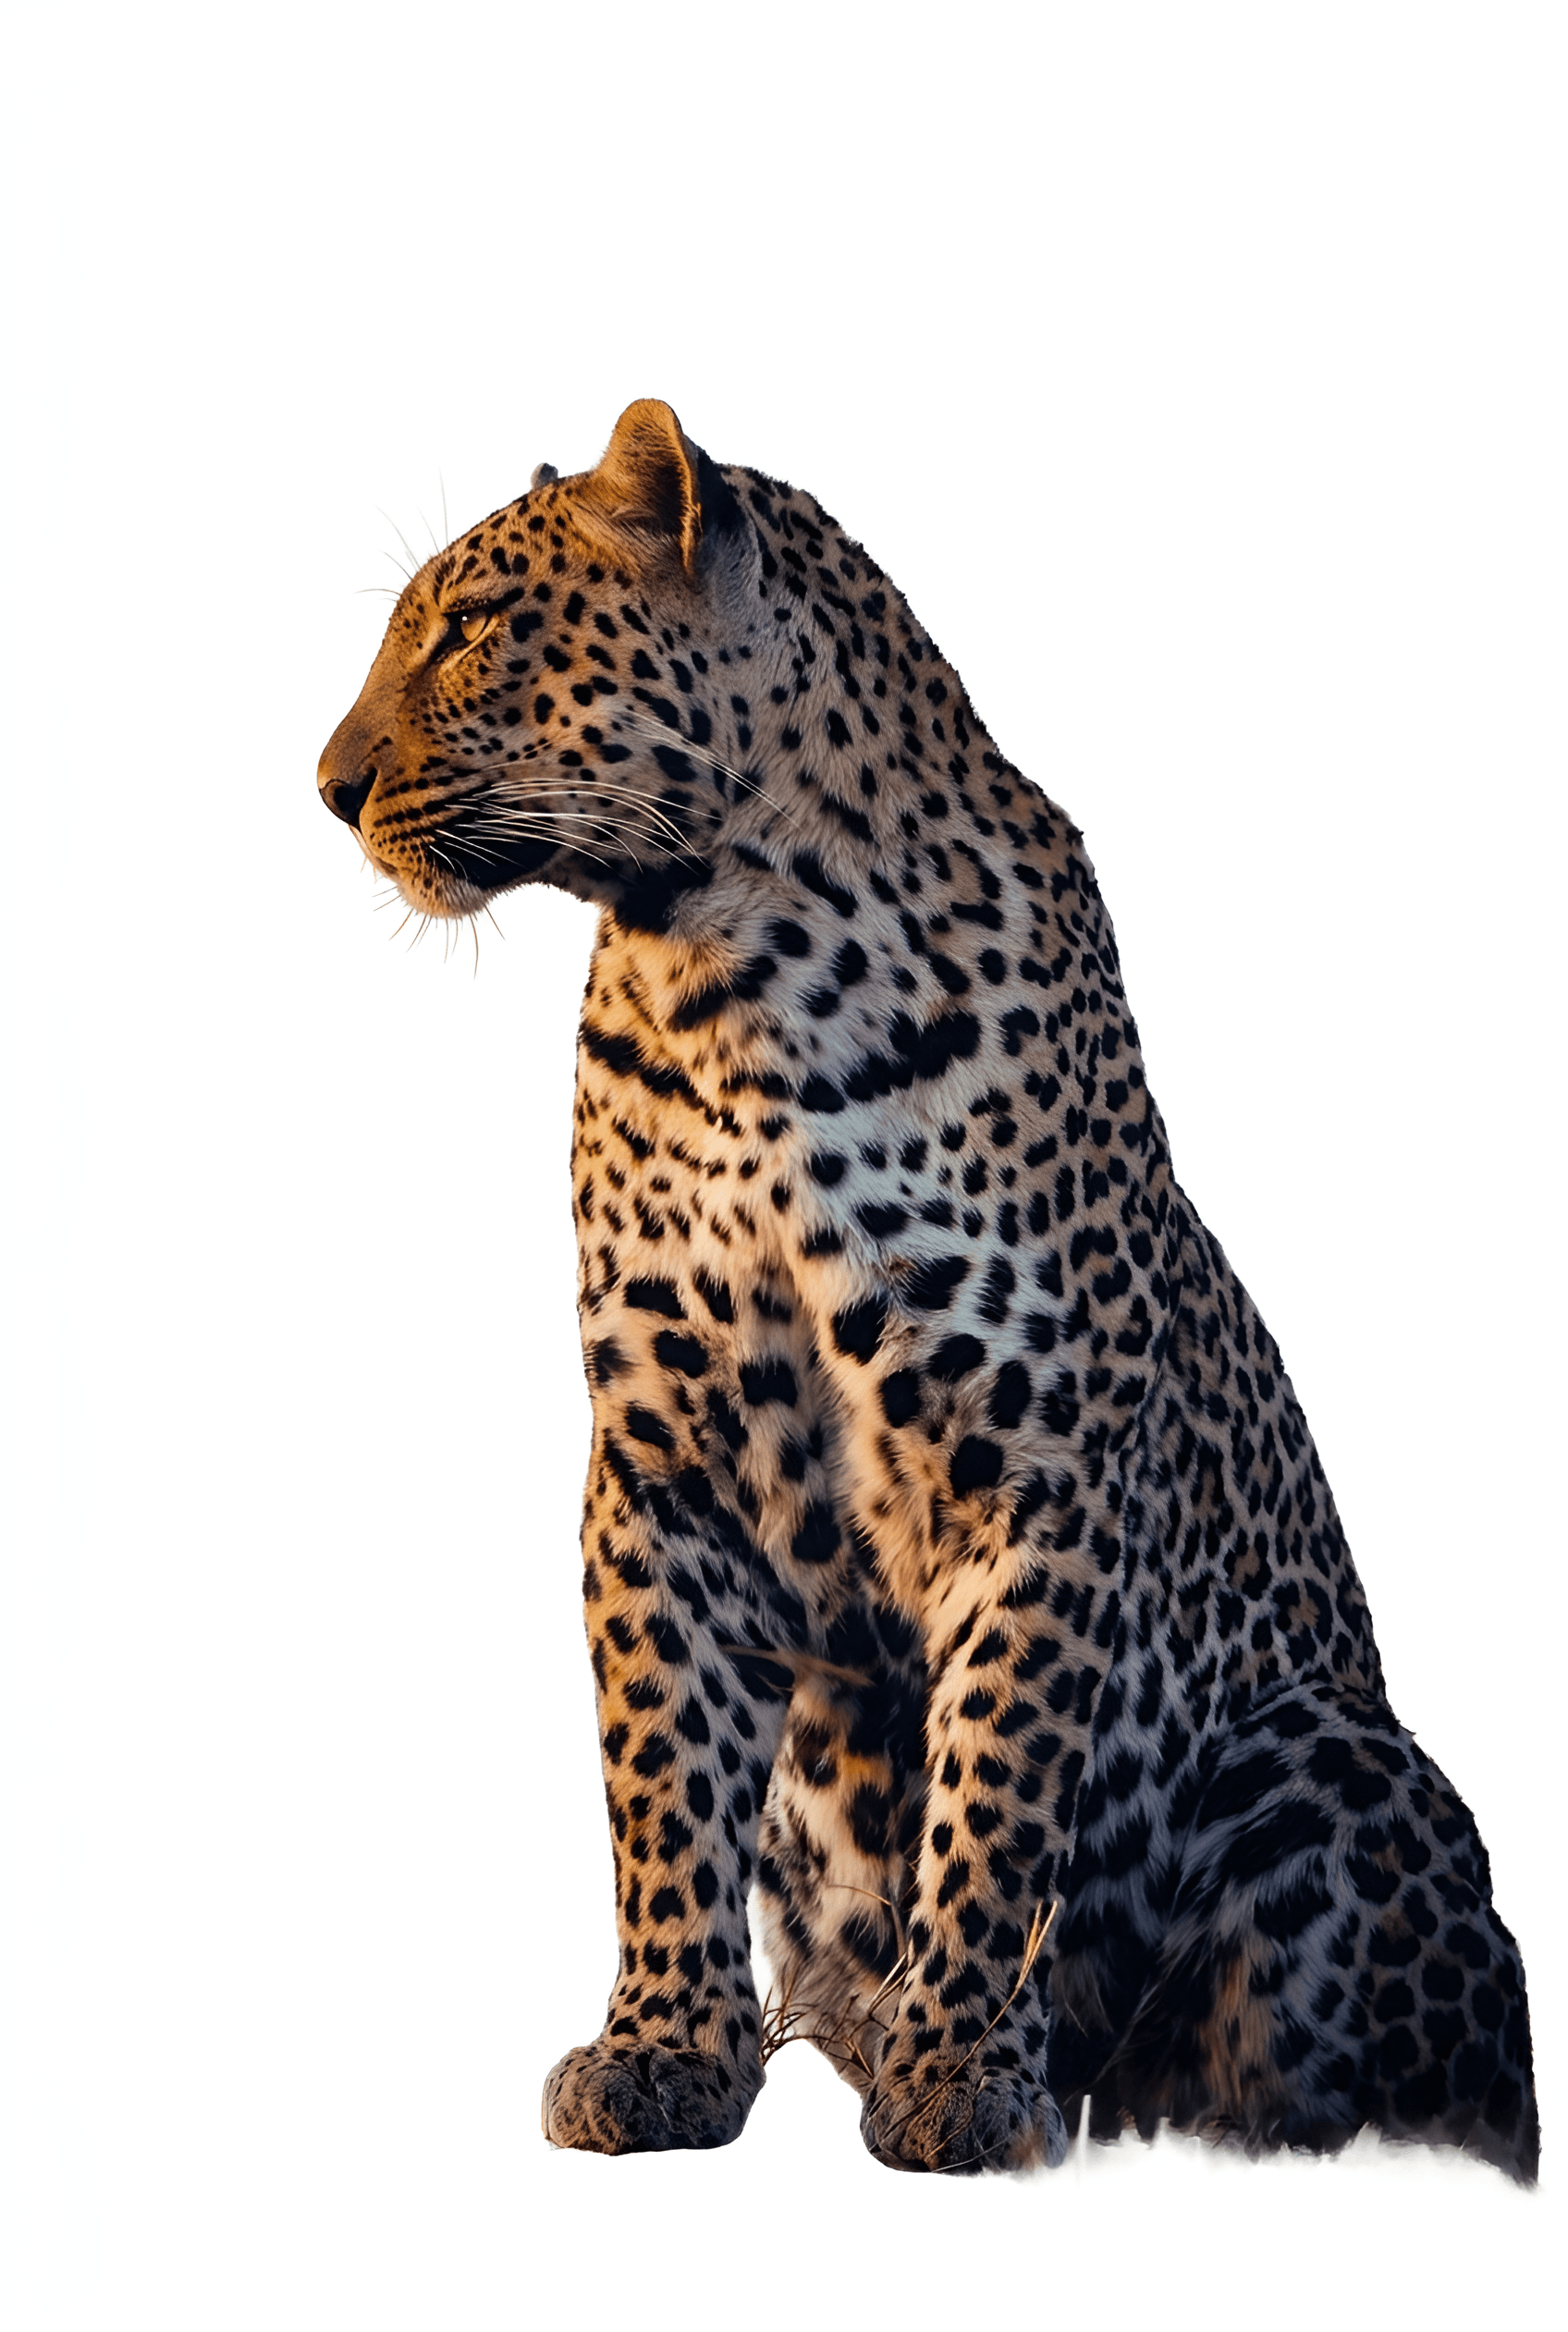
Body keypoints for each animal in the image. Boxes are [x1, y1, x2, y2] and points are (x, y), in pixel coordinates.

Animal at [318, 398, 1538, 2178]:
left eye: (471, 625)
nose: (326, 786)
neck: (724, 974)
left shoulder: (1032, 1463)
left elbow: (1003, 1784)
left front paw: (957, 2069)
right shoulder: (658, 1466)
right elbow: (660, 1777)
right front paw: (664, 2051)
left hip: (1327, 1754)